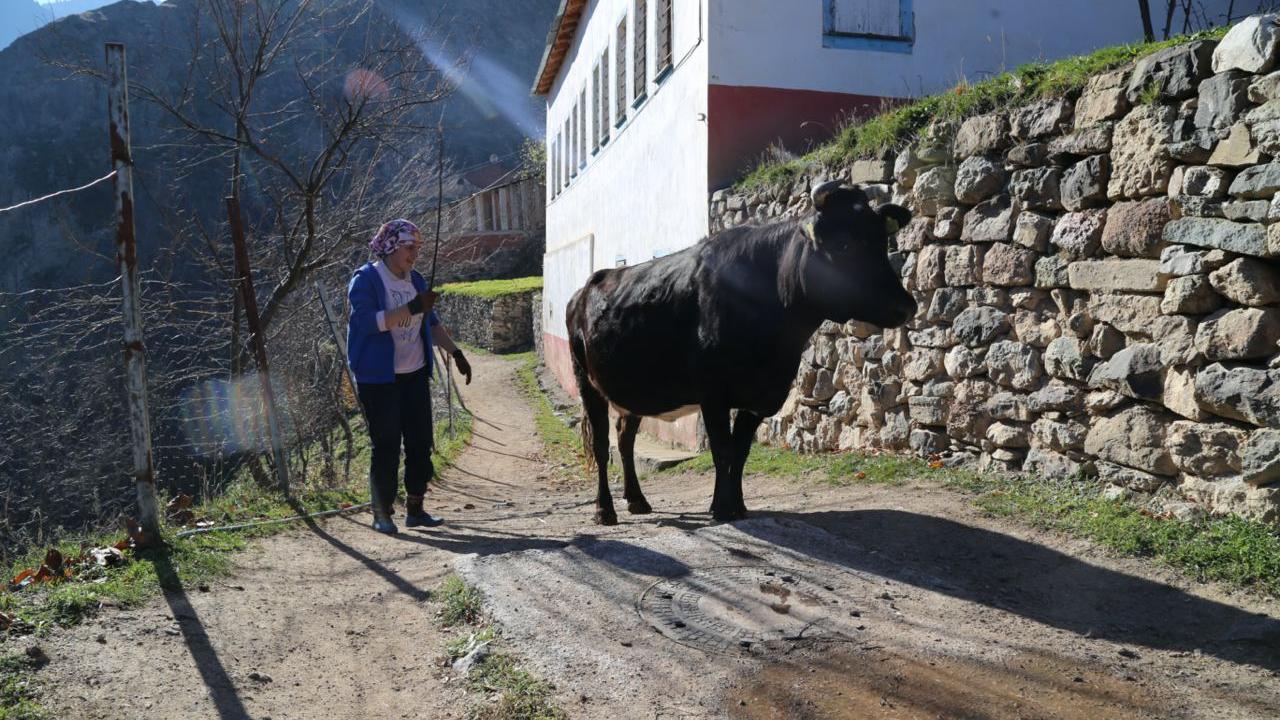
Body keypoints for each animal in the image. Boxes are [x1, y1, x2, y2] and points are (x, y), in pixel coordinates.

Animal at [565, 181, 916, 525]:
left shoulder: (762, 396)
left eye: (882, 241)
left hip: (633, 391)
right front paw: (722, 509)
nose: (906, 305)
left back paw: (637, 500)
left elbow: (740, 451)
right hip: (586, 381)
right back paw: (604, 510)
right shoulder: (713, 392)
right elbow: (722, 450)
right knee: (601, 443)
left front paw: (738, 505)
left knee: (624, 438)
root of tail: (583, 291)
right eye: (843, 244)